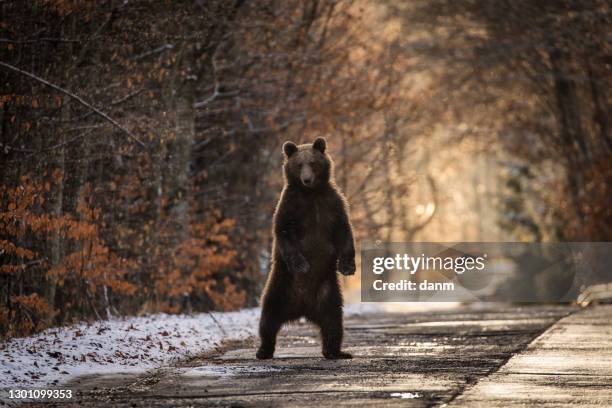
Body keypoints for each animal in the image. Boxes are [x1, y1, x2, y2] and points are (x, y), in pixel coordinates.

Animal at [256, 138, 354, 360]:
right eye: (299, 164)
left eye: (312, 162)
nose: (307, 179)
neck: (311, 194)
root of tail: (302, 309)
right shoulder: (290, 205)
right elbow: (283, 230)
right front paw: (302, 265)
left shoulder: (332, 204)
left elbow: (343, 230)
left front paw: (347, 267)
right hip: (280, 287)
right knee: (268, 319)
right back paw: (263, 350)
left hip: (328, 293)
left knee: (333, 322)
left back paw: (336, 351)